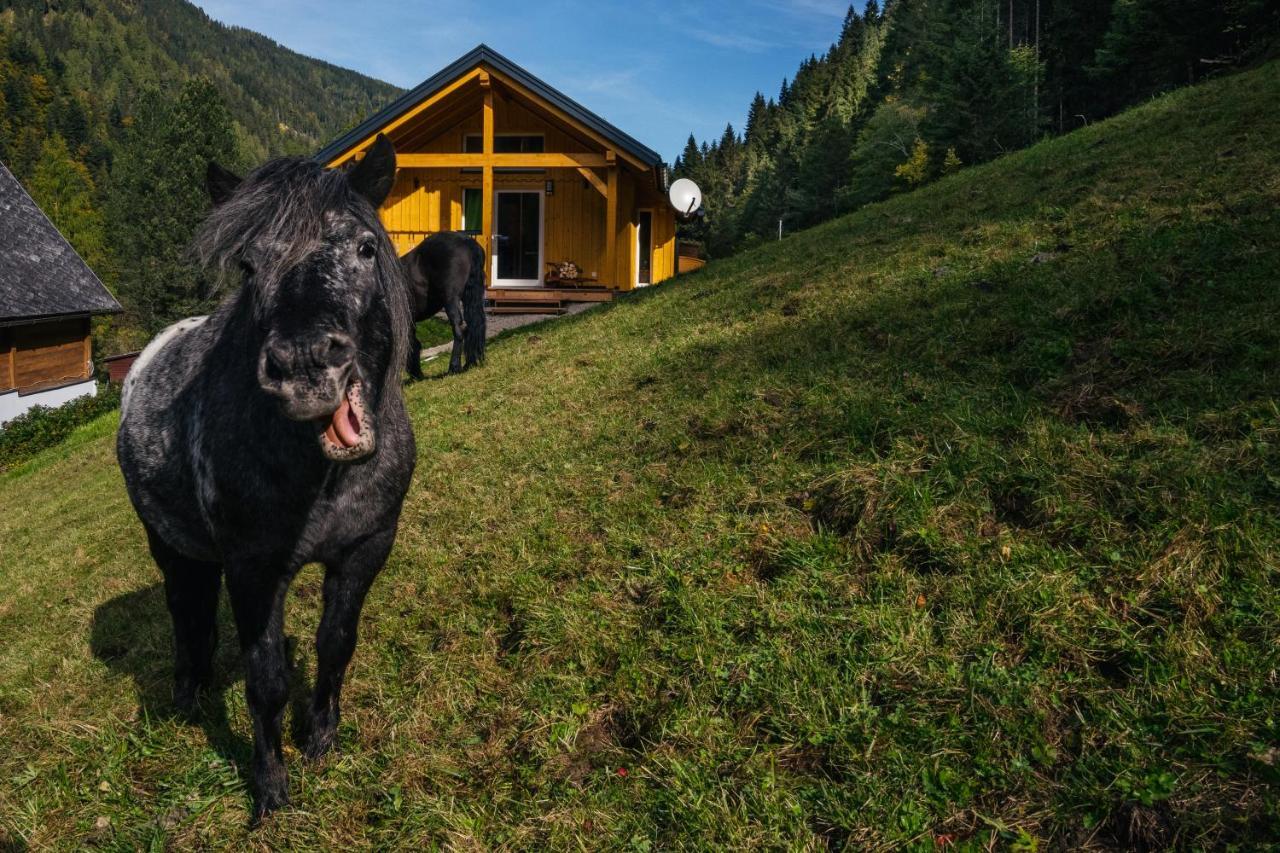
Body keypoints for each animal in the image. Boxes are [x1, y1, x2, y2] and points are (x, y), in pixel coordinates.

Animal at [118, 133, 412, 819]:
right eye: (250, 267)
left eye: (365, 248)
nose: (304, 365)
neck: (322, 478)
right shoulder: (254, 573)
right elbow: (266, 681)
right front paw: (271, 786)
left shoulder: (366, 548)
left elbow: (336, 644)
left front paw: (321, 736)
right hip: (170, 547)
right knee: (184, 609)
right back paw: (187, 693)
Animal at [401, 233, 486, 379]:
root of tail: (466, 241)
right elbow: (414, 343)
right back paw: (469, 363)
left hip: (451, 298)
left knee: (459, 328)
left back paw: (454, 368)